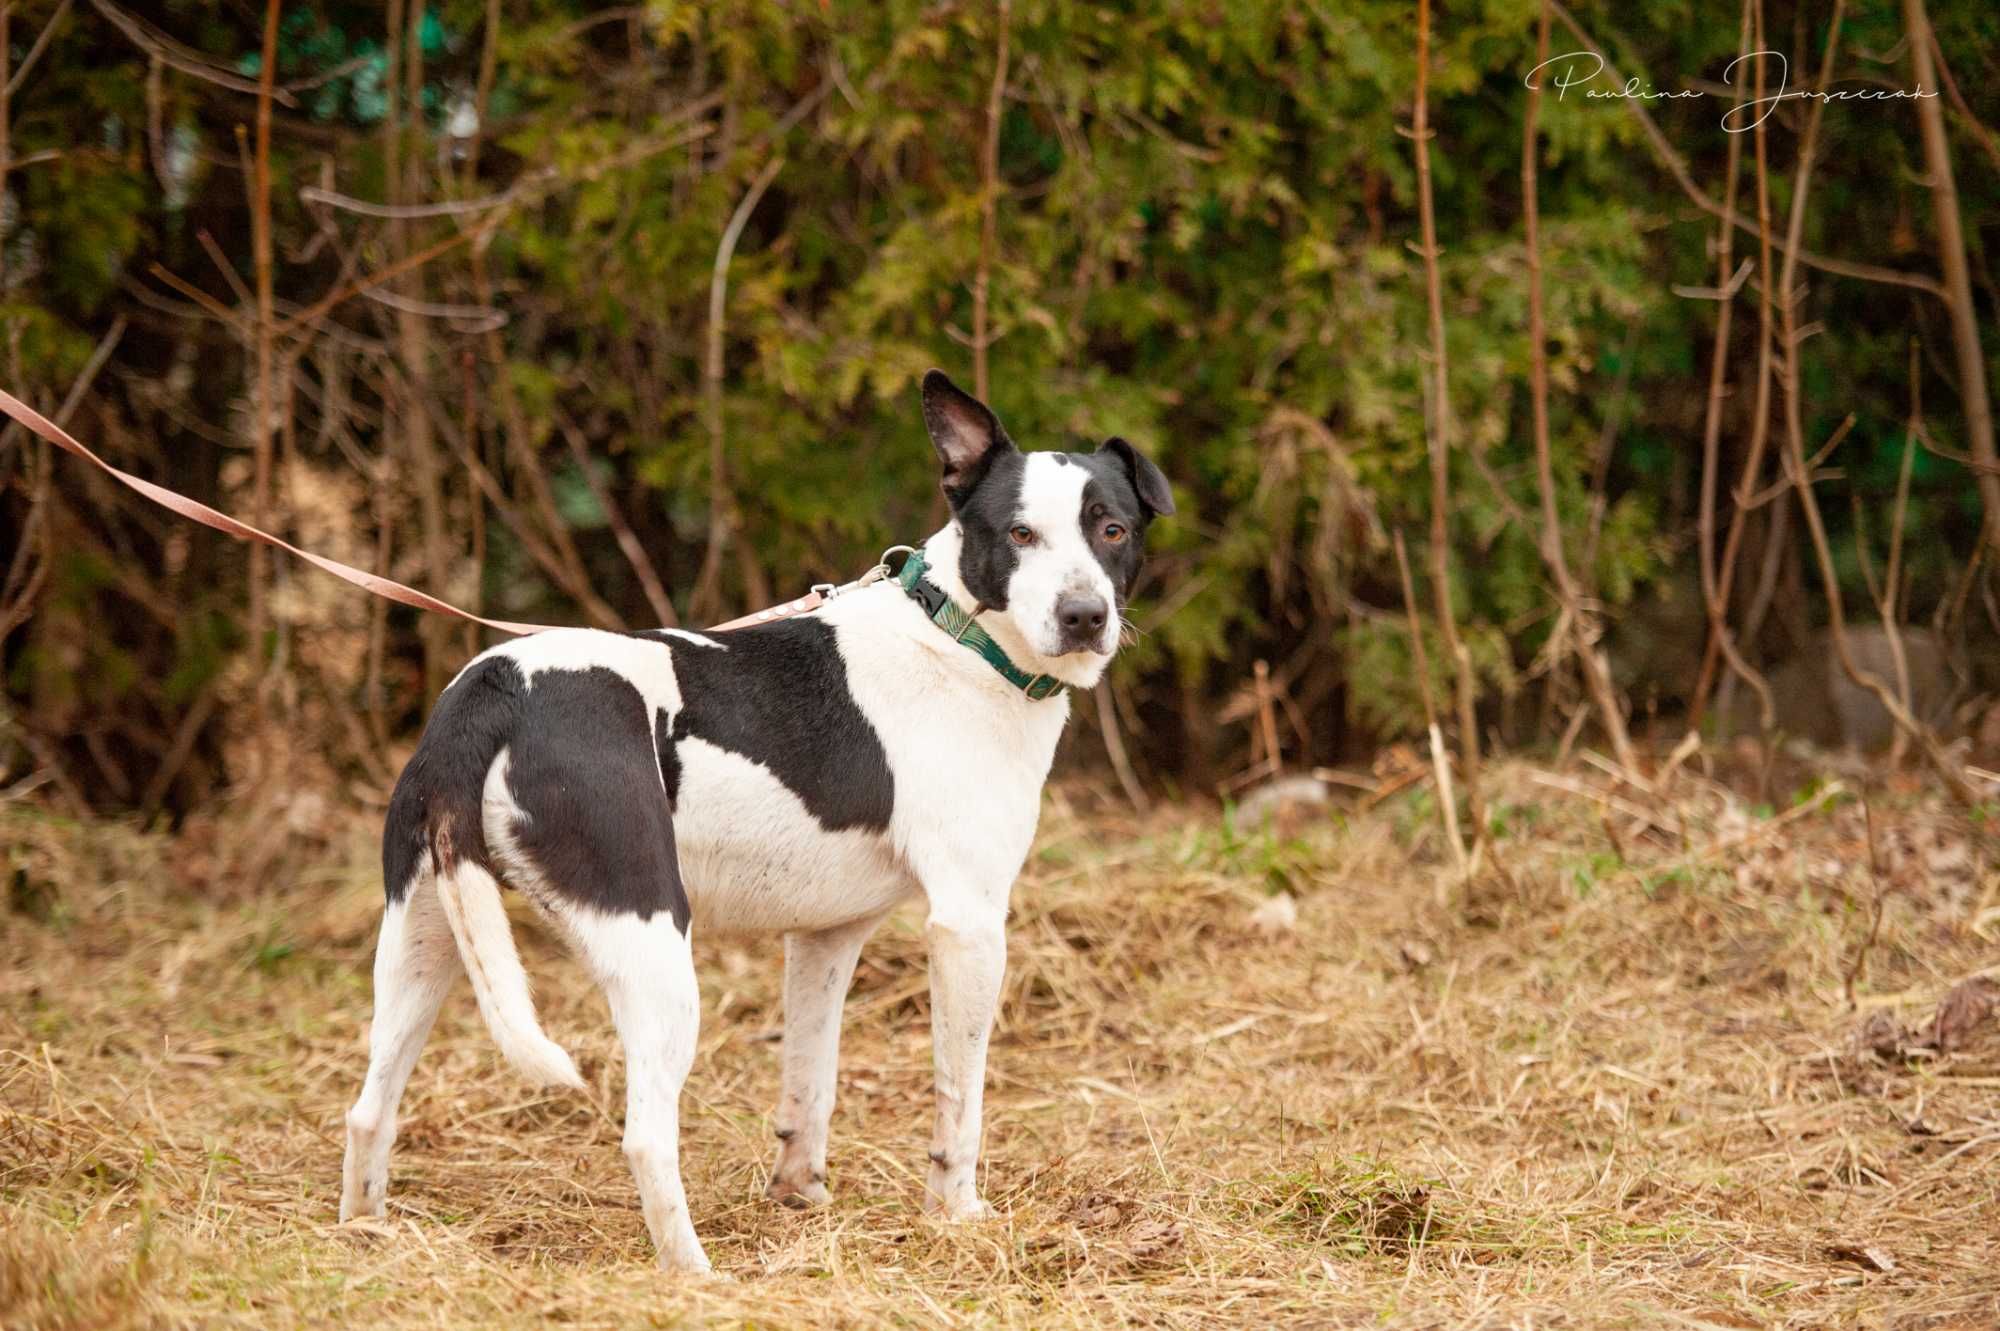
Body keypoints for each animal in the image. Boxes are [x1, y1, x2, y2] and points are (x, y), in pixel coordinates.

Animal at [332, 367, 1168, 1271]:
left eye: (1113, 529)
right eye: (1020, 532)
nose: (1086, 615)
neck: (958, 636)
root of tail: (495, 688)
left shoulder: (825, 939)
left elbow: (811, 1083)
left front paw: (800, 1197)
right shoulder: (969, 925)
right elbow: (959, 1097)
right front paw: (957, 1213)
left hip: (425, 939)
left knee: (369, 1107)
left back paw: (364, 1231)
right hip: (653, 947)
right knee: (645, 1137)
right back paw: (696, 1273)